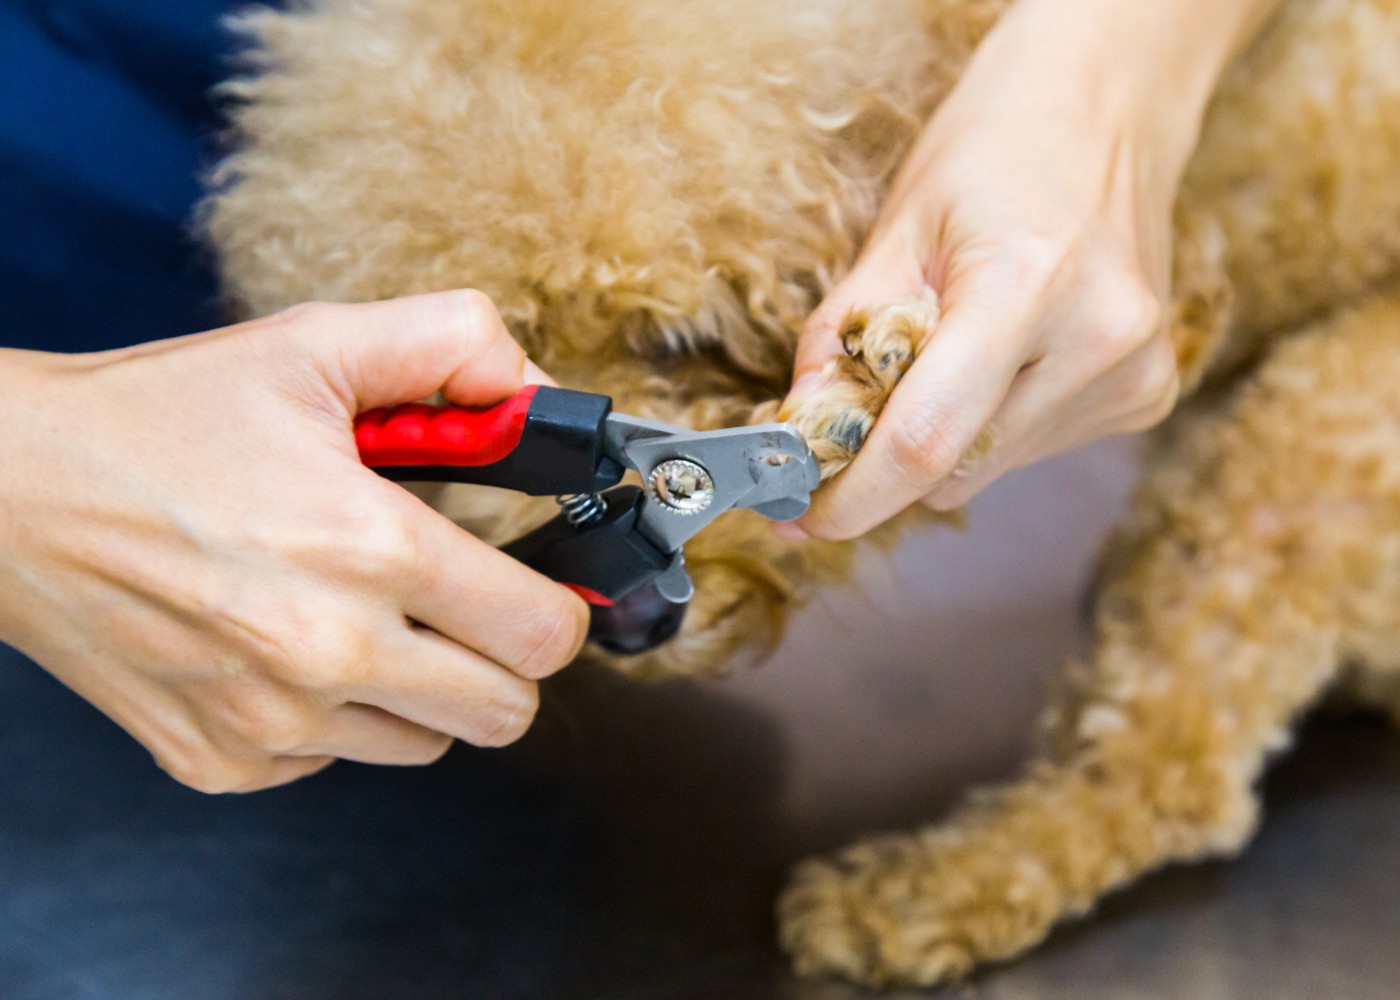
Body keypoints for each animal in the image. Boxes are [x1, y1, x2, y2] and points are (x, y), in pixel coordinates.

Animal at [203, 0, 1400, 980]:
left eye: (677, 340)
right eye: (463, 388)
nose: (626, 626)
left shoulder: (1172, 275)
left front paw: (887, 367)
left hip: (1318, 432)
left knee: (1167, 777)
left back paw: (910, 896)